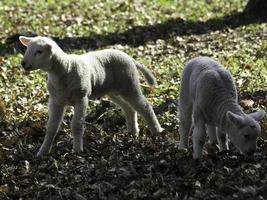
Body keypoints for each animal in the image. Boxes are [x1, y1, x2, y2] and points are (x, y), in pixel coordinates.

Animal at [18, 36, 164, 158]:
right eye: (27, 49)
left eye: (39, 51)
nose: (23, 64)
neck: (65, 68)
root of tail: (129, 57)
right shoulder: (56, 100)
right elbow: (51, 127)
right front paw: (42, 152)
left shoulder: (81, 98)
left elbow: (77, 125)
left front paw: (77, 150)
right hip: (113, 91)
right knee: (129, 108)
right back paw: (133, 132)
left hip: (129, 83)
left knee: (144, 106)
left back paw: (156, 131)